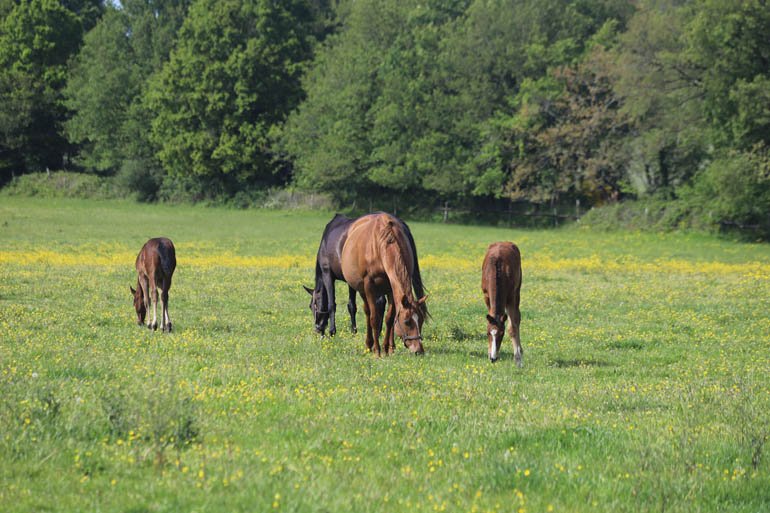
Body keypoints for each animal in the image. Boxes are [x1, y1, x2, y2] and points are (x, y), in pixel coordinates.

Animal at [340, 213, 427, 356]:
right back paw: (369, 344)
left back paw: (391, 347)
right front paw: (377, 351)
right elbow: (374, 318)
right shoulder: (369, 286)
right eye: (407, 321)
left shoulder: (391, 288)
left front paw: (386, 348)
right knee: (368, 312)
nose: (418, 350)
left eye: (421, 320)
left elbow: (390, 318)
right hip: (362, 290)